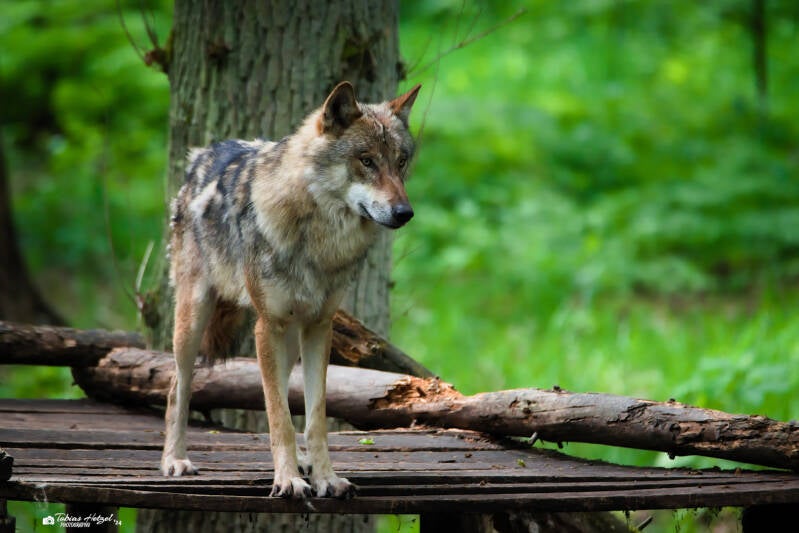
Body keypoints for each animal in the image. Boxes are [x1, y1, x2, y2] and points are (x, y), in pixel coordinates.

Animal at [161, 81, 421, 499]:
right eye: (366, 161)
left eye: (400, 163)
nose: (404, 213)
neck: (320, 242)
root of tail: (204, 153)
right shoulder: (268, 325)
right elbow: (279, 417)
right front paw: (287, 480)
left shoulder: (319, 328)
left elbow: (313, 417)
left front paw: (325, 478)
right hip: (194, 322)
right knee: (176, 388)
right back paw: (175, 460)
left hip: (288, 341)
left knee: (279, 391)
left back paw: (302, 463)